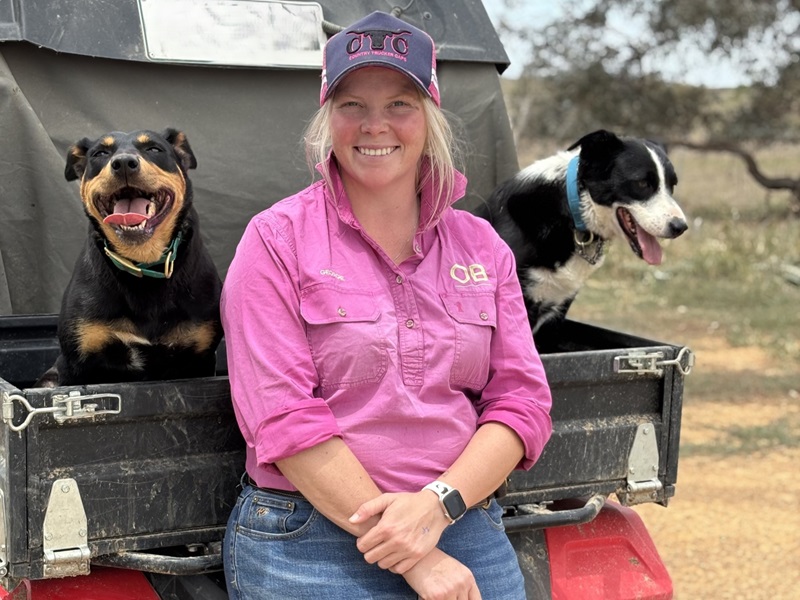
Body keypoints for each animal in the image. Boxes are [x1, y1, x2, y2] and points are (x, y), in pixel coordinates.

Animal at [38, 129, 222, 386]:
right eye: (100, 154)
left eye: (154, 149)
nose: (124, 163)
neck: (143, 263)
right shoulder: (75, 363)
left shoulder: (199, 359)